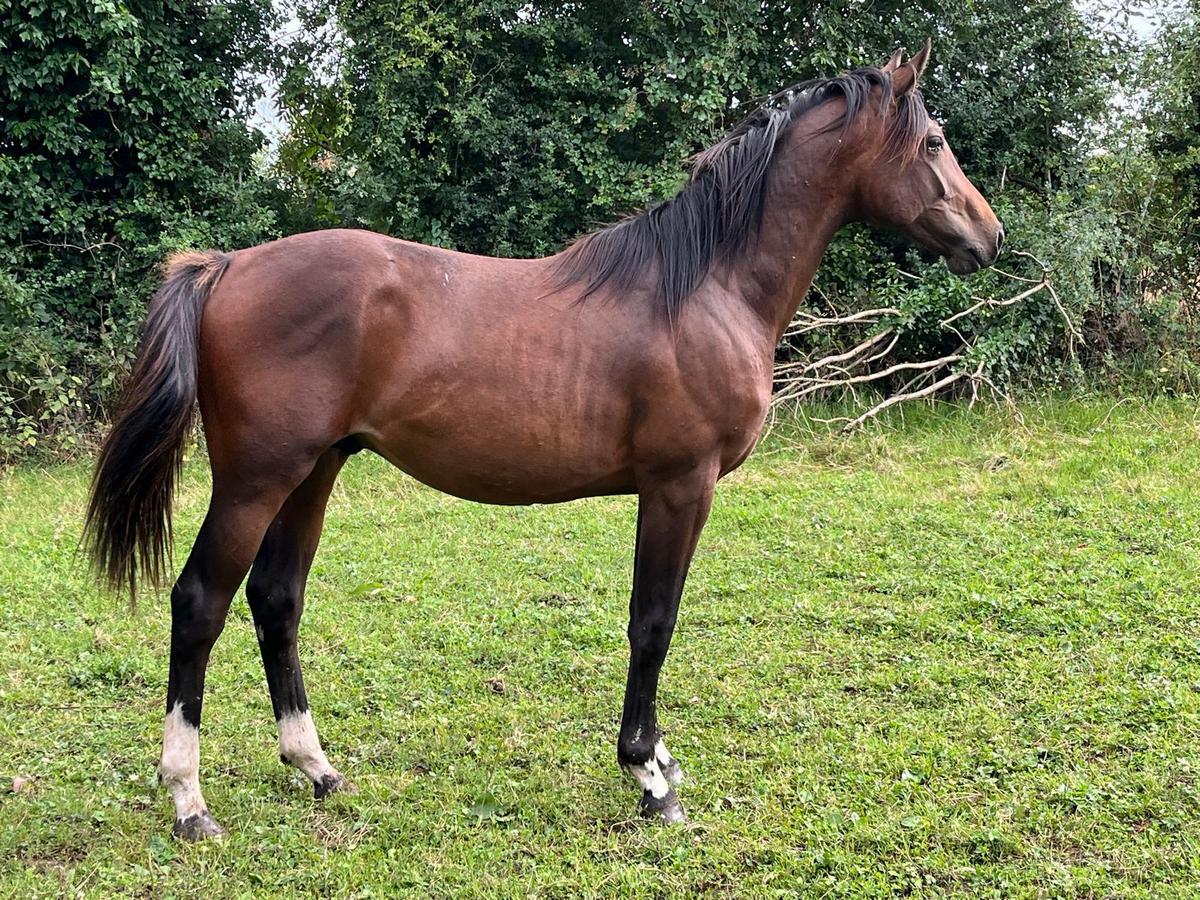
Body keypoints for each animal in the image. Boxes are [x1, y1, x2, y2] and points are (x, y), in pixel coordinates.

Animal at [85, 40, 1002, 840]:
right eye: (934, 140)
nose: (988, 237)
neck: (705, 285)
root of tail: (229, 266)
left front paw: (657, 761)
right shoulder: (680, 485)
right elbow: (653, 623)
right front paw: (649, 777)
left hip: (313, 473)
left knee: (277, 600)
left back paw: (316, 767)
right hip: (256, 479)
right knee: (199, 604)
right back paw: (189, 801)